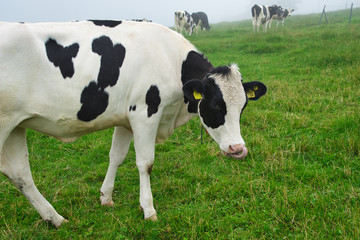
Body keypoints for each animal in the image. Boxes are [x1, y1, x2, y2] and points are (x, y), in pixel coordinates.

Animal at [0, 20, 266, 227]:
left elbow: (116, 156)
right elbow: (145, 163)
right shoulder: (144, 113)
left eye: (242, 107)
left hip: (15, 126)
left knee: (21, 175)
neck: (169, 58)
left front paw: (106, 197)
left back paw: (54, 218)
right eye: (215, 106)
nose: (238, 149)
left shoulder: (126, 118)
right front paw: (148, 210)